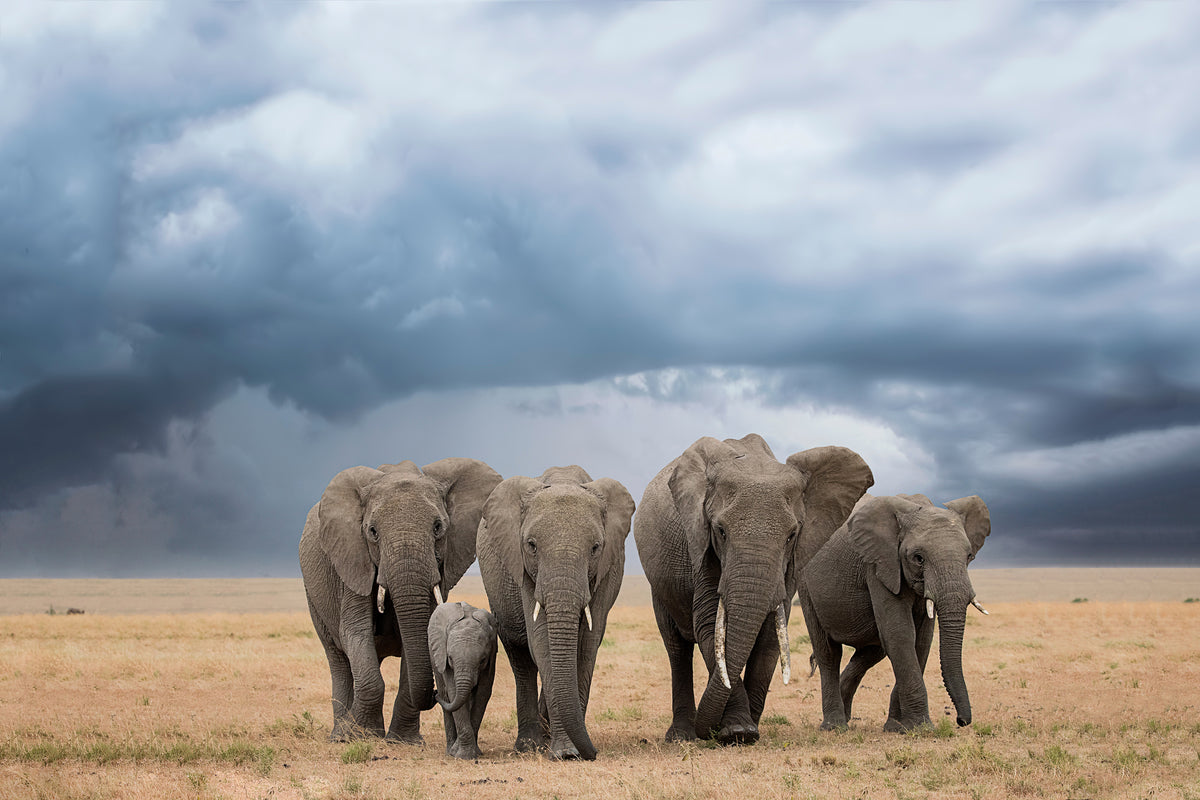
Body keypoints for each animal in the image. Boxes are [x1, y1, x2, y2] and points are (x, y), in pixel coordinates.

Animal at [299, 458, 502, 742]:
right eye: (372, 531)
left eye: (438, 527)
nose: (436, 694)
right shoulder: (353, 559)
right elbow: (355, 631)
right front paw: (359, 736)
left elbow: (421, 635)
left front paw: (403, 741)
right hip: (314, 596)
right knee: (338, 659)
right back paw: (342, 735)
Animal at [428, 601, 498, 760]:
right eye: (450, 659)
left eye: (482, 660)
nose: (433, 694)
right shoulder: (444, 660)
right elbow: (454, 693)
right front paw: (461, 755)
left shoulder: (491, 659)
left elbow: (483, 694)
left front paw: (471, 753)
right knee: (447, 696)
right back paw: (449, 750)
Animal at [476, 465, 635, 760]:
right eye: (531, 545)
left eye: (595, 547)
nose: (593, 752)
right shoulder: (525, 570)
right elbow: (542, 642)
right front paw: (565, 753)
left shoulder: (608, 568)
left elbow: (586, 645)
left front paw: (571, 751)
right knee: (520, 656)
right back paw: (529, 746)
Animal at [635, 434, 874, 745]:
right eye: (721, 531)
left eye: (791, 535)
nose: (707, 731)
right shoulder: (700, 546)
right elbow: (710, 624)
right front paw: (738, 731)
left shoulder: (790, 565)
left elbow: (771, 632)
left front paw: (748, 729)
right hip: (660, 582)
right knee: (676, 647)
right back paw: (681, 736)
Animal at [796, 493, 991, 732]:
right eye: (918, 558)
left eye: (969, 556)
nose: (961, 721)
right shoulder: (879, 564)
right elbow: (900, 634)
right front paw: (922, 728)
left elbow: (921, 641)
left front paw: (897, 727)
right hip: (805, 586)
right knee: (829, 653)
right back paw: (835, 726)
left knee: (872, 652)